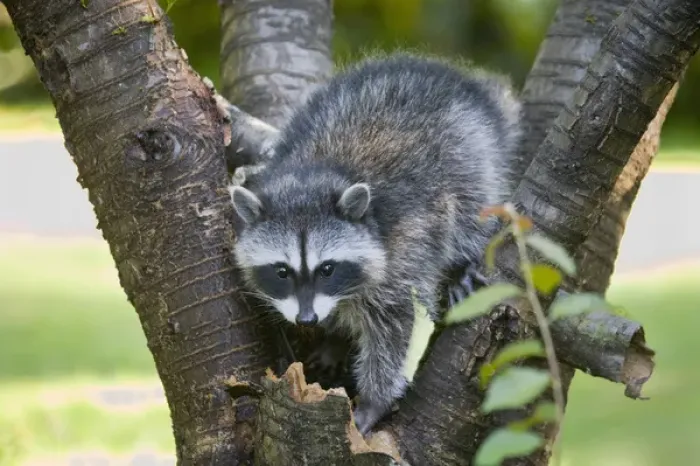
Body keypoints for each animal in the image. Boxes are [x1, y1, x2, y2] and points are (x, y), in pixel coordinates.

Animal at [228, 52, 522, 434]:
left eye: (327, 269)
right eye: (282, 271)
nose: (307, 319)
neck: (313, 176)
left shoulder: (403, 248)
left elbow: (393, 327)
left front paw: (374, 401)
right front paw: (333, 335)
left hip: (470, 150)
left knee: (472, 204)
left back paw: (462, 261)